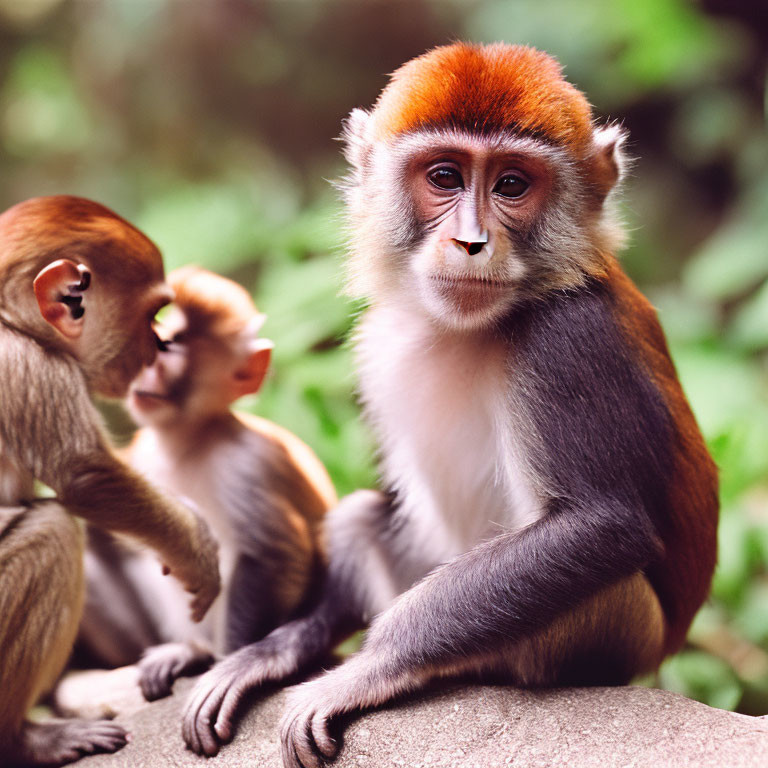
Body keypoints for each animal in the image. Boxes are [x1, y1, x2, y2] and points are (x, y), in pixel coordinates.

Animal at [0, 195, 219, 764]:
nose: (160, 345)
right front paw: (196, 549)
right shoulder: (29, 363)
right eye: (151, 314)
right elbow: (85, 474)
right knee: (51, 534)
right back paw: (24, 739)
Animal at [73, 268, 336, 704]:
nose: (143, 367)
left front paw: (227, 665)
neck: (186, 442)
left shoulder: (247, 464)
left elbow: (273, 554)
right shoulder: (143, 452)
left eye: (170, 346)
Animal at [180, 43, 720, 768]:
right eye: (444, 176)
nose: (470, 241)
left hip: (623, 631)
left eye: (512, 185)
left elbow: (602, 525)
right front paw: (281, 648)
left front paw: (365, 670)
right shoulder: (378, 344)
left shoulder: (569, 336)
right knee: (361, 517)